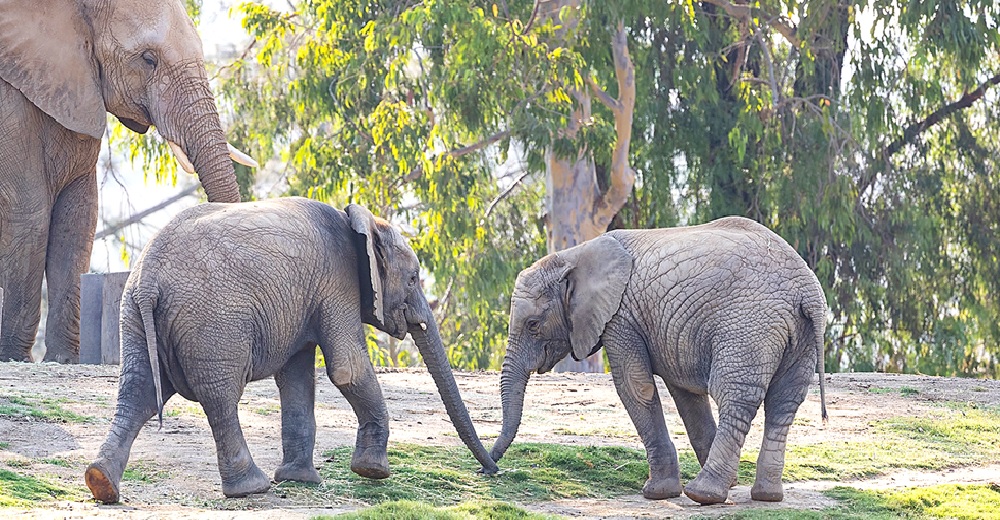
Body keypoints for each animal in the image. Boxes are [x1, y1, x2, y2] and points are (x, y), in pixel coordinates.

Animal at [0, 0, 256, 364]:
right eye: (148, 59)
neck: (68, 10)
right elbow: (29, 212)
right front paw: (14, 357)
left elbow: (77, 220)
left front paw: (64, 359)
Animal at [84, 197, 498, 502]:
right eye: (413, 279)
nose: (489, 470)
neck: (361, 222)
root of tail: (148, 279)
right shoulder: (337, 282)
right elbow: (346, 368)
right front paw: (373, 472)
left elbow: (297, 378)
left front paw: (301, 480)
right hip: (213, 322)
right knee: (220, 397)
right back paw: (251, 488)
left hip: (134, 318)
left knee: (137, 393)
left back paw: (101, 483)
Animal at [490, 217, 828, 506]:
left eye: (533, 324)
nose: (489, 468)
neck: (573, 255)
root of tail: (807, 292)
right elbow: (686, 395)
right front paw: (730, 484)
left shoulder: (620, 317)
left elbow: (634, 386)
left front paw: (658, 493)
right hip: (800, 334)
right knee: (784, 403)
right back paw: (766, 496)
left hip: (748, 325)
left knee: (735, 397)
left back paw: (704, 495)